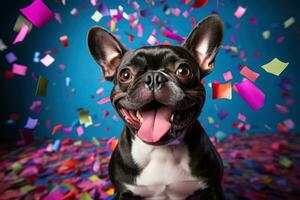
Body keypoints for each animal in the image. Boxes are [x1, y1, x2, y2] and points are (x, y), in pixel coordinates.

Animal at [88, 14, 224, 199]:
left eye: (183, 71)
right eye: (125, 74)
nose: (153, 77)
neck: (160, 152)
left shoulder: (213, 187)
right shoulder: (124, 191)